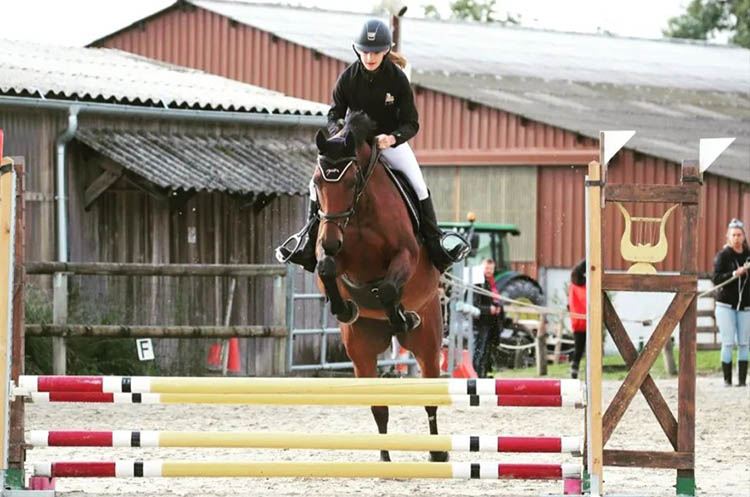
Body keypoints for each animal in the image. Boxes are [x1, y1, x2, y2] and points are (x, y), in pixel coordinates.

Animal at [310, 111, 446, 462]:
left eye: (351, 182)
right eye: (317, 182)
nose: (331, 242)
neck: (359, 212)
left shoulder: (406, 255)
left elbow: (386, 288)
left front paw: (400, 315)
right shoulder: (330, 254)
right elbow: (326, 268)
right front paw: (344, 308)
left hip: (428, 344)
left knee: (430, 400)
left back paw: (438, 453)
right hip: (362, 351)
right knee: (378, 406)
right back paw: (384, 458)